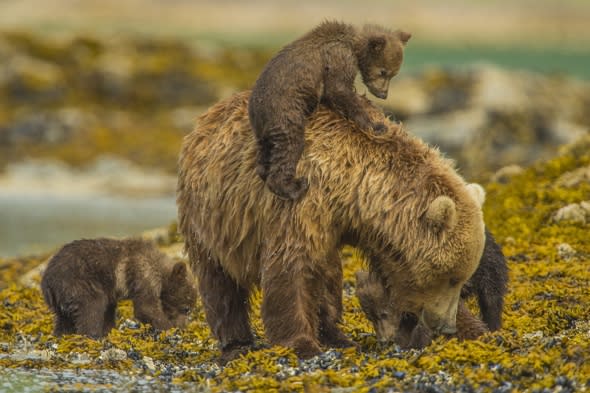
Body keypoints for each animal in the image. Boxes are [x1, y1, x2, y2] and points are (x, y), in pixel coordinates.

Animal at [176, 90, 486, 360]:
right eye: (451, 277)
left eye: (462, 278)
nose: (445, 325)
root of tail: (204, 119)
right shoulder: (299, 202)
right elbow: (290, 267)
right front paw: (301, 344)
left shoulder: (367, 230)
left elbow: (390, 273)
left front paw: (474, 329)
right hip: (211, 216)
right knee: (219, 282)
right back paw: (236, 343)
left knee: (327, 276)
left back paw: (337, 336)